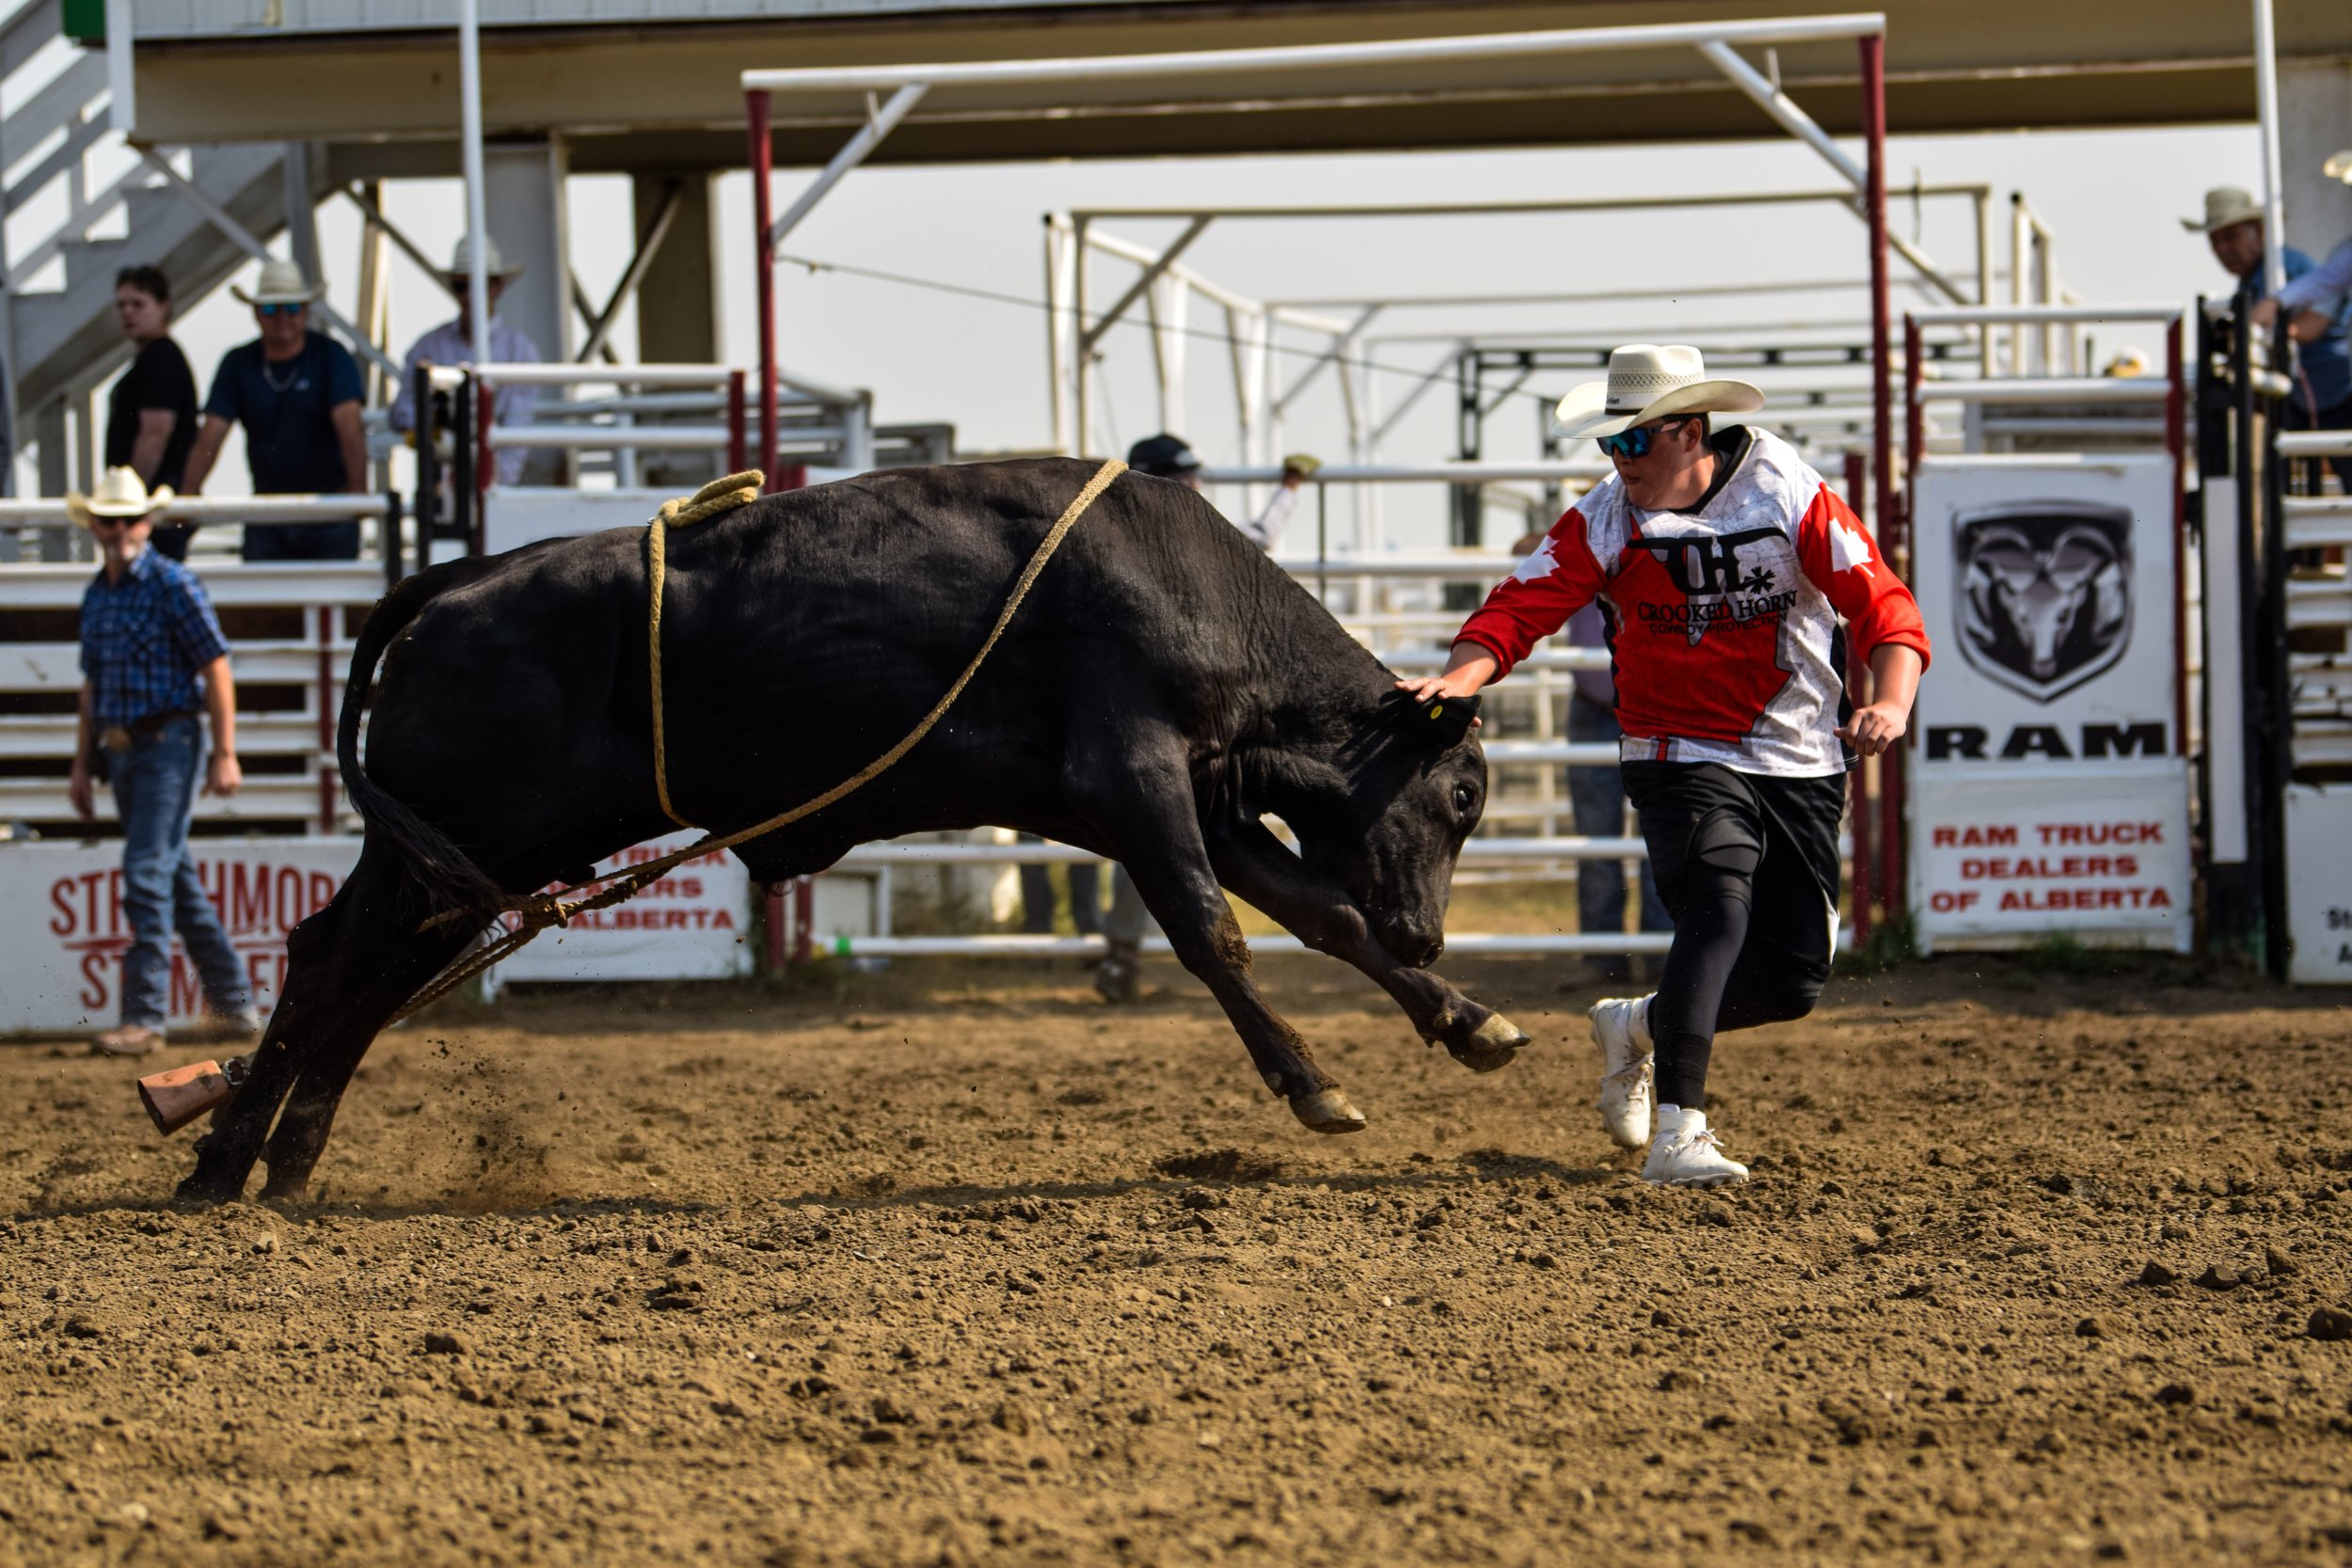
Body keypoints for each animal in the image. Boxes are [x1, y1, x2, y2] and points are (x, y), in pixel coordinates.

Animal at [179, 460, 1524, 1212]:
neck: (1185, 589)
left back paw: (270, 1164)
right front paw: (1317, 1085)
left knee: (350, 974)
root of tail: (452, 582)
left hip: (467, 858)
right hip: (466, 839)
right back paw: (225, 1167)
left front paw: (1469, 1020)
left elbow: (1324, 914)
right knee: (334, 966)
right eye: (1462, 794)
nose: (1430, 927)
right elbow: (1214, 934)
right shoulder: (1137, 783)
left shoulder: (1203, 802)